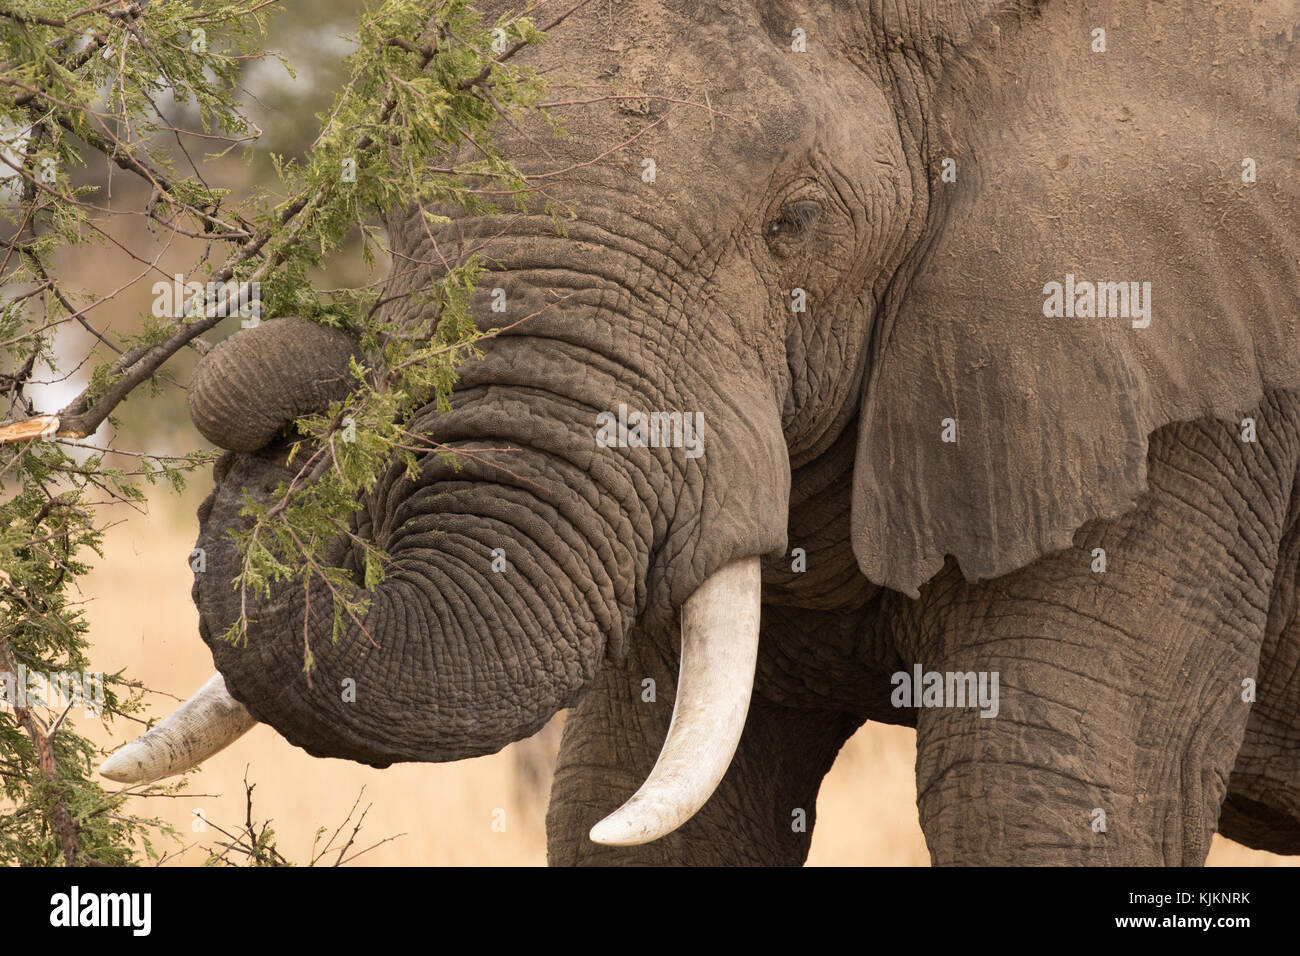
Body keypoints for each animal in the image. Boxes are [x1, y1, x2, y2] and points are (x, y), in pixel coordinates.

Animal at [98, 0, 1300, 868]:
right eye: (394, 199)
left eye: (796, 225)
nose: (291, 374)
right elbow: (629, 804)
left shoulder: (1186, 393)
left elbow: (1044, 794)